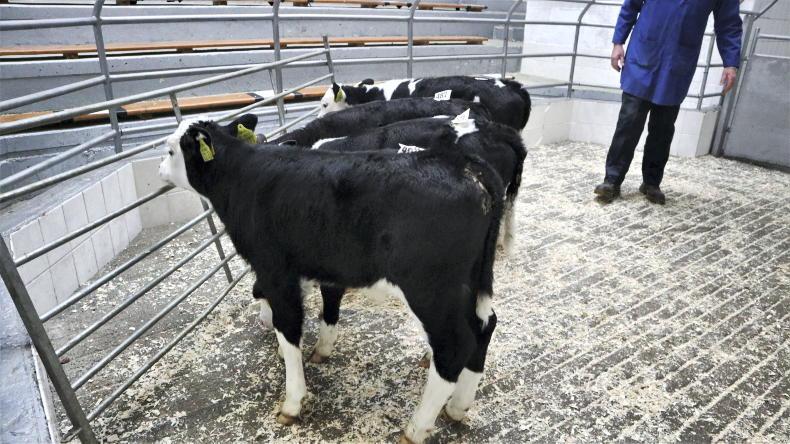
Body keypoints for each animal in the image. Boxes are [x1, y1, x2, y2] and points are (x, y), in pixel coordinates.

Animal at [158, 118, 504, 443]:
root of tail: (461, 163)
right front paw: (321, 349)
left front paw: (293, 400)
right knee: (484, 326)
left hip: (430, 288)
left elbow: (289, 325)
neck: (242, 177)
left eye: (171, 150)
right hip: (469, 283)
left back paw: (416, 428)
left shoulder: (274, 269)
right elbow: (328, 301)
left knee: (454, 345)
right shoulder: (326, 263)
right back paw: (457, 406)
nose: (160, 170)